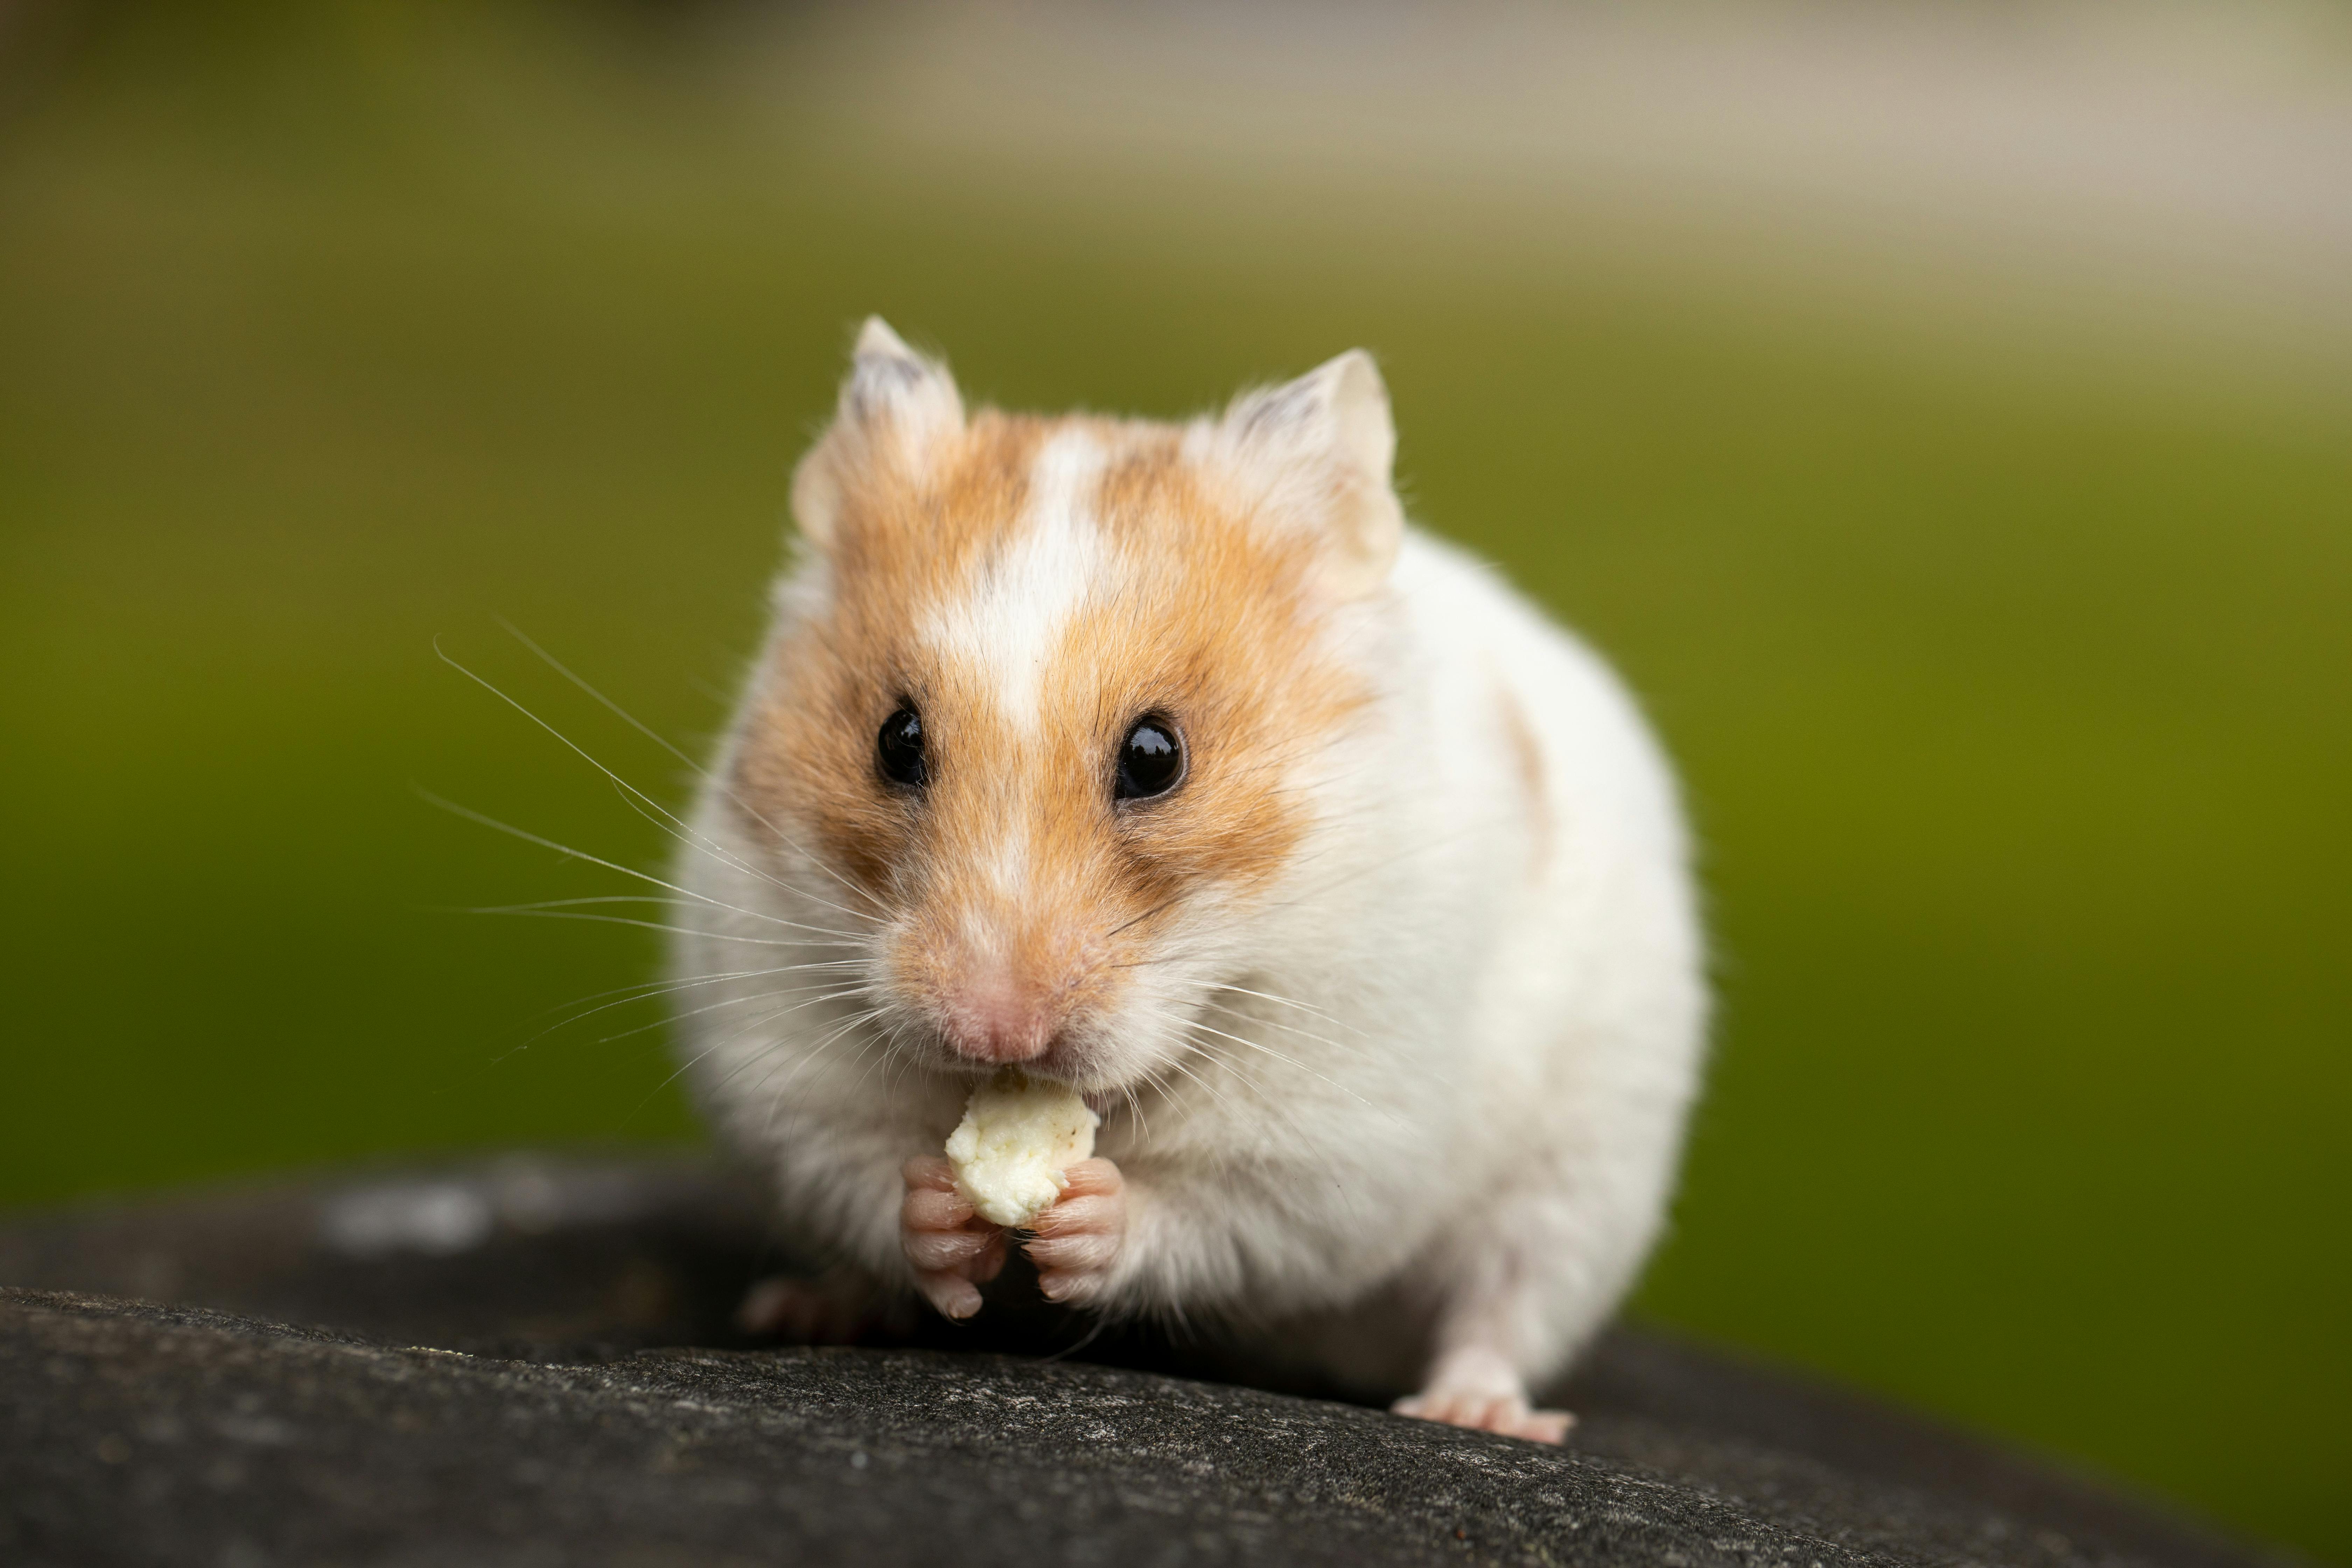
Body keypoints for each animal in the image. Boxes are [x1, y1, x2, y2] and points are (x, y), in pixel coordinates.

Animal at [677, 322, 1712, 1448]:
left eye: (1156, 756)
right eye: (895, 739)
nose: (995, 1033)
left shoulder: (1334, 1141)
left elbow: (1214, 1215)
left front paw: (1088, 1215)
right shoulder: (783, 1060)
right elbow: (864, 1173)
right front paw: (943, 1214)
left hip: (1583, 1176)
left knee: (1506, 1304)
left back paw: (1476, 1411)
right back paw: (804, 1309)